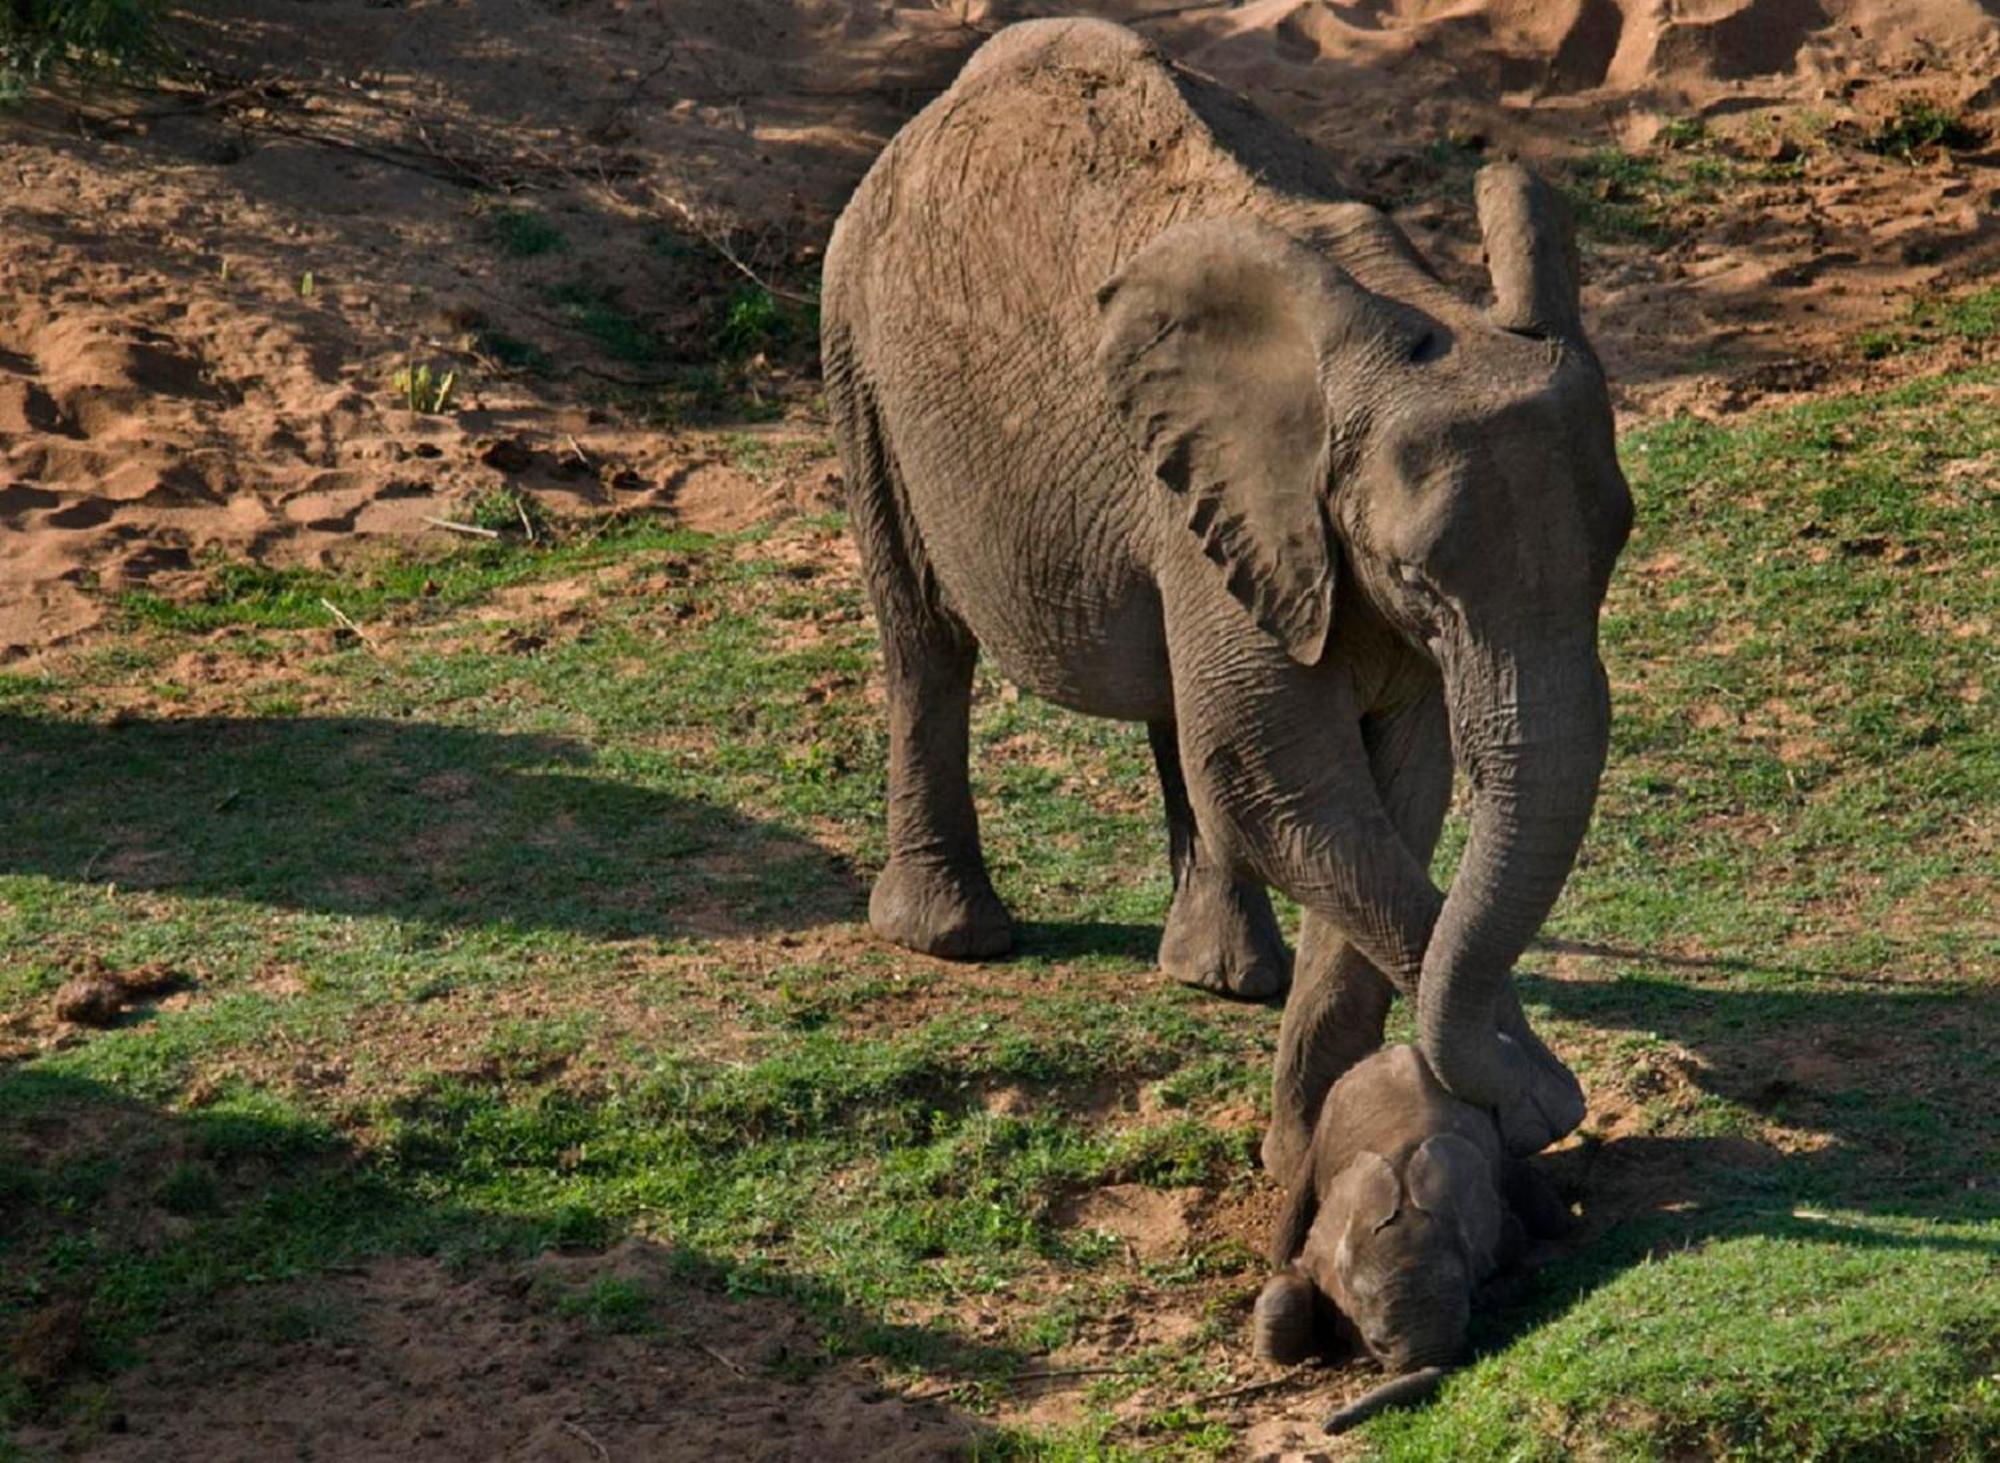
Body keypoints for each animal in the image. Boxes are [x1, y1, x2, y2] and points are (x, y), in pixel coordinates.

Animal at [820, 17, 1632, 1175]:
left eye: (1619, 547)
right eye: (1419, 580)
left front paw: (1301, 1154)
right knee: (923, 640)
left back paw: (1223, 976)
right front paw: (1528, 1099)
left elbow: (1386, 793)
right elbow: (1278, 780)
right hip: (857, 350)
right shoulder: (1245, 501)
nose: (1558, 1106)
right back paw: (950, 937)